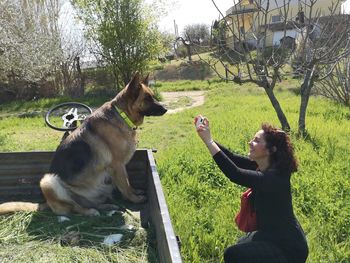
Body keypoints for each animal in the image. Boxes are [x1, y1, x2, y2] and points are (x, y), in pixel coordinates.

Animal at [0, 72, 167, 217]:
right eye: (147, 98)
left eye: (153, 96)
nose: (166, 109)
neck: (121, 115)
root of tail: (46, 202)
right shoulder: (117, 165)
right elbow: (125, 186)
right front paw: (134, 199)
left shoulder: (119, 168)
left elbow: (128, 183)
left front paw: (135, 193)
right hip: (48, 181)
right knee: (75, 207)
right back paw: (90, 212)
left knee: (91, 203)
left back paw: (106, 206)